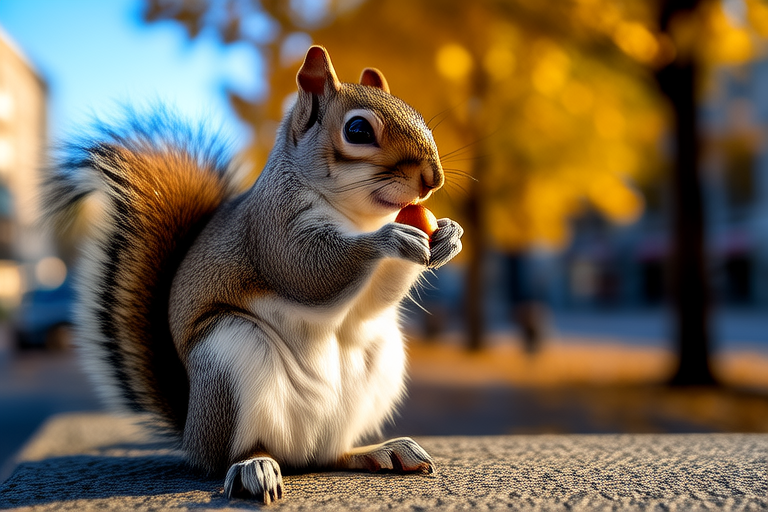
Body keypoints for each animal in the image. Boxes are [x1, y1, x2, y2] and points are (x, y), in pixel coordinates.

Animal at [43, 46, 463, 503]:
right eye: (357, 129)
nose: (433, 179)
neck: (358, 216)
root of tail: (192, 432)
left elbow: (378, 297)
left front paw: (449, 235)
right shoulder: (272, 230)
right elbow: (307, 271)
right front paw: (391, 238)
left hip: (376, 370)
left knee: (331, 453)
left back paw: (378, 451)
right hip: (230, 360)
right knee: (233, 453)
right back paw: (253, 467)